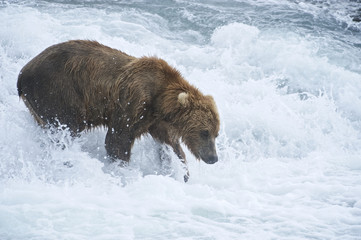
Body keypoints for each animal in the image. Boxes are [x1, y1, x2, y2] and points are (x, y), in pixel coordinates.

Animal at [17, 40, 219, 181]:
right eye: (204, 132)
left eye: (215, 134)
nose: (213, 157)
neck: (160, 98)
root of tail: (22, 74)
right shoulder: (133, 103)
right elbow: (118, 140)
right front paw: (123, 171)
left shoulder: (154, 121)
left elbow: (170, 142)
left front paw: (181, 171)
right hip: (57, 92)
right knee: (65, 130)